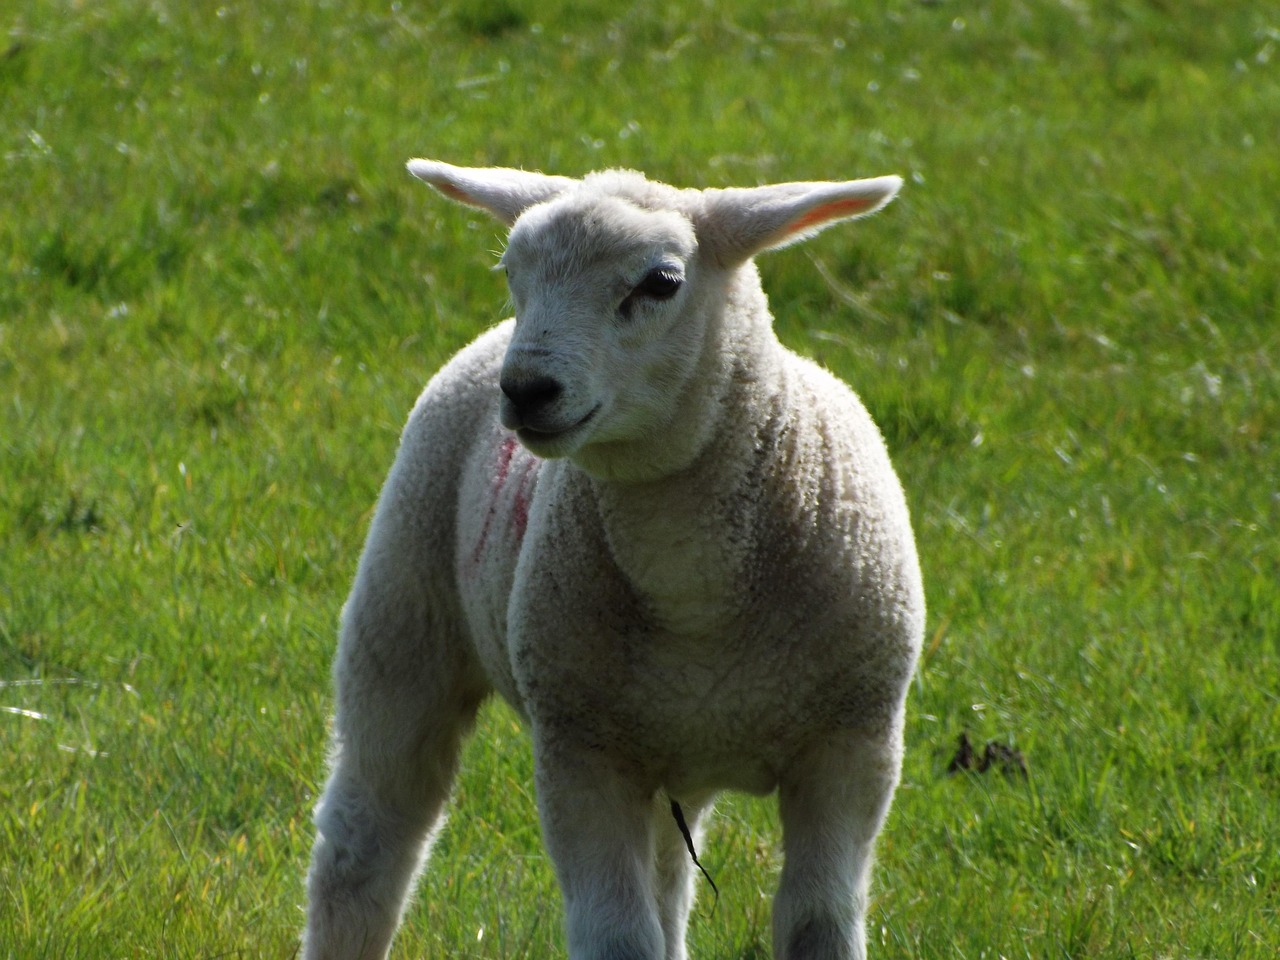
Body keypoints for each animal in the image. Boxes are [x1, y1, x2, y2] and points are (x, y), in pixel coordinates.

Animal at [301, 160, 925, 960]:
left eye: (661, 282)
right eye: (512, 271)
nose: (526, 389)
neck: (694, 591)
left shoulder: (852, 747)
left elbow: (817, 919)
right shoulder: (581, 753)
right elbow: (617, 937)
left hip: (666, 749)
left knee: (667, 883)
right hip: (403, 616)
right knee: (368, 838)